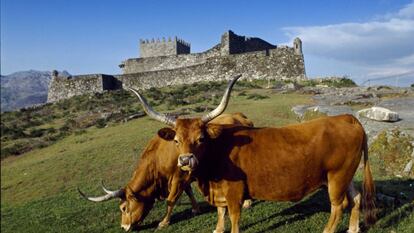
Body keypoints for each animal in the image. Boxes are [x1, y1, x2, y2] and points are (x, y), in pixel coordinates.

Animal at [77, 112, 252, 231]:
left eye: (124, 208)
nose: (123, 227)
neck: (158, 158)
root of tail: (239, 116)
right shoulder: (183, 178)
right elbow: (189, 192)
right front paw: (196, 209)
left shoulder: (178, 178)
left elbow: (171, 200)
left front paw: (164, 222)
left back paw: (247, 203)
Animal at [131, 75, 376, 233]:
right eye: (176, 140)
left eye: (201, 138)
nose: (185, 160)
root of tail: (348, 118)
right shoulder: (219, 192)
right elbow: (220, 213)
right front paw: (217, 229)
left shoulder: (235, 193)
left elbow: (233, 218)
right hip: (346, 175)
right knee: (355, 198)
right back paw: (353, 229)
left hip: (336, 177)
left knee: (338, 206)